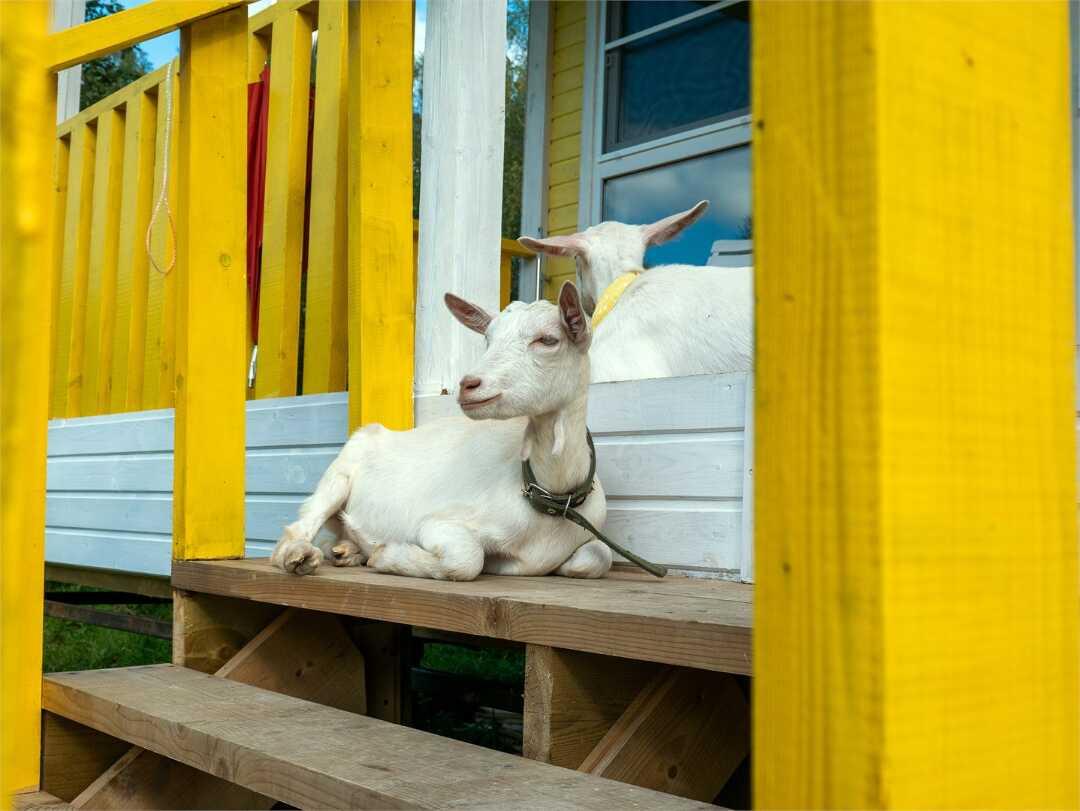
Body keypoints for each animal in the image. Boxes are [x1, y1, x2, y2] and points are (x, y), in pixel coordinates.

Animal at [270, 282, 611, 582]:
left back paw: (345, 552)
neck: (550, 493)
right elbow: (467, 559)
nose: (469, 384)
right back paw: (300, 556)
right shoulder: (440, 523)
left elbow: (599, 556)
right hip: (339, 475)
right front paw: (386, 555)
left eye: (548, 339)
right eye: (487, 339)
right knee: (296, 529)